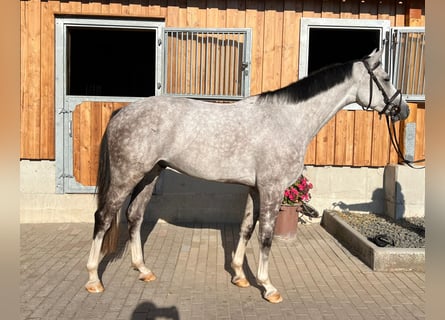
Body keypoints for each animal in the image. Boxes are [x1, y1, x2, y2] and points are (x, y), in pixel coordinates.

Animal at [85, 49, 408, 302]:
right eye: (386, 77)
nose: (402, 109)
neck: (287, 119)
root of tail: (123, 112)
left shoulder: (255, 189)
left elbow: (246, 229)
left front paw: (240, 275)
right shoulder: (272, 189)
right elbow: (265, 236)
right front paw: (268, 287)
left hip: (149, 174)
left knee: (134, 216)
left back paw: (143, 270)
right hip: (127, 176)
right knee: (103, 217)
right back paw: (93, 280)